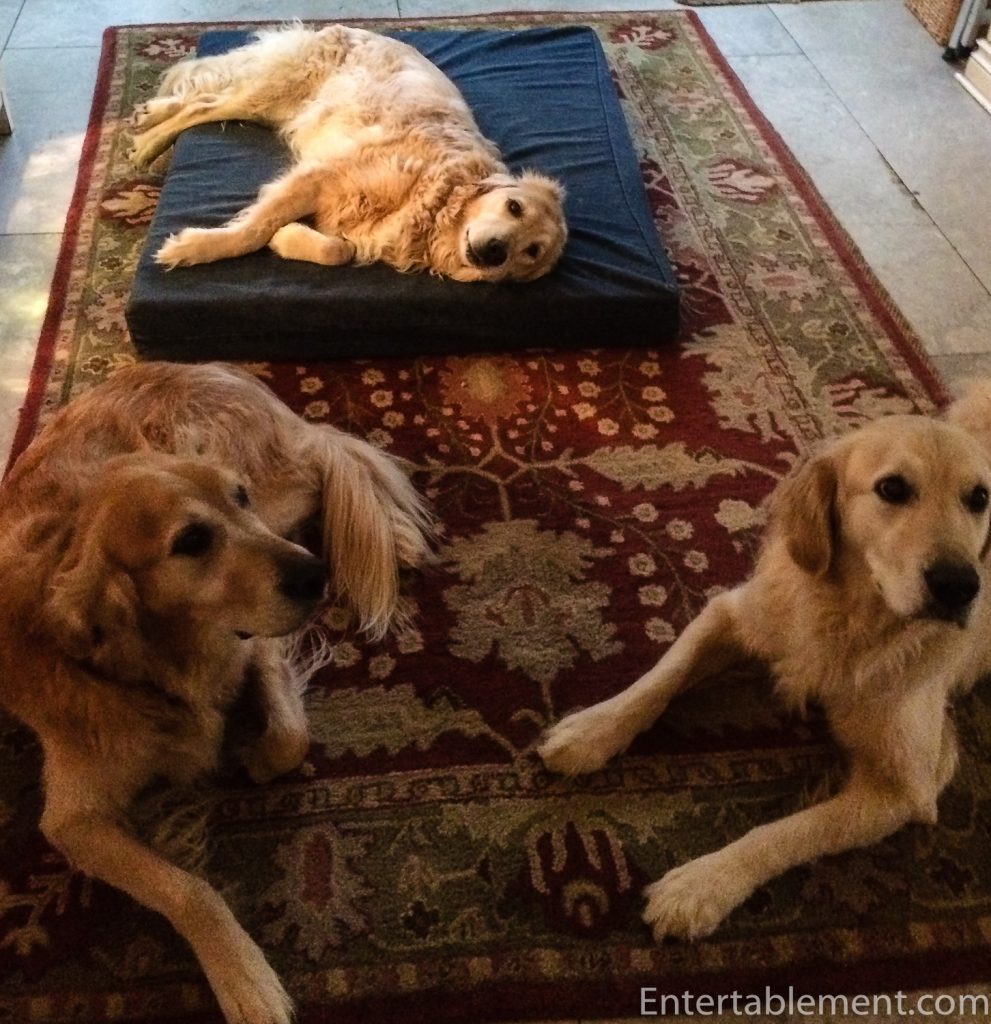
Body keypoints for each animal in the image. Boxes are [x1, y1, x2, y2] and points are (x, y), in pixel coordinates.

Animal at [0, 361, 433, 1024]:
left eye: (238, 499)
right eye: (191, 542)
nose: (315, 577)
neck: (163, 662)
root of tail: (206, 367)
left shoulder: (255, 640)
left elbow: (290, 736)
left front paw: (254, 758)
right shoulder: (74, 820)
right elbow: (189, 888)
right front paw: (245, 978)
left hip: (269, 486)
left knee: (330, 456)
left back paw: (395, 534)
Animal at [129, 24, 568, 283]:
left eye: (531, 252)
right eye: (514, 207)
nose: (495, 251)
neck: (435, 201)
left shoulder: (358, 230)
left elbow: (337, 249)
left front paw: (288, 237)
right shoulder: (319, 175)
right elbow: (250, 232)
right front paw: (191, 249)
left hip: (272, 106)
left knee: (204, 100)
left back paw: (151, 116)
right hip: (271, 92)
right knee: (202, 106)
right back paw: (148, 142)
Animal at [539, 383, 991, 942]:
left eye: (979, 498)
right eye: (892, 488)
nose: (960, 586)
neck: (847, 617)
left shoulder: (909, 786)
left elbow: (788, 831)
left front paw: (701, 885)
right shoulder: (733, 614)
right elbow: (659, 680)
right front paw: (590, 730)